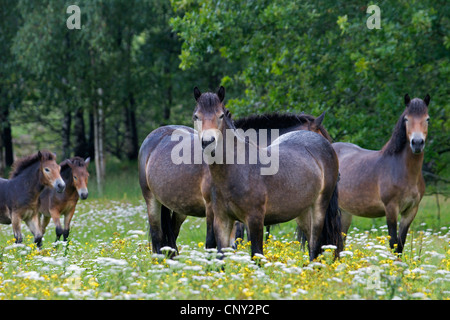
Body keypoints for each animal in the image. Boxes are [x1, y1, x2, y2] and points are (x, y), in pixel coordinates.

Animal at [332, 94, 430, 254]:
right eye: (406, 119)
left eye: (427, 119)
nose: (417, 143)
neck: (403, 170)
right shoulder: (391, 209)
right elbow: (393, 244)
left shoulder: (410, 211)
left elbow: (400, 245)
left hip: (344, 212)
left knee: (339, 244)